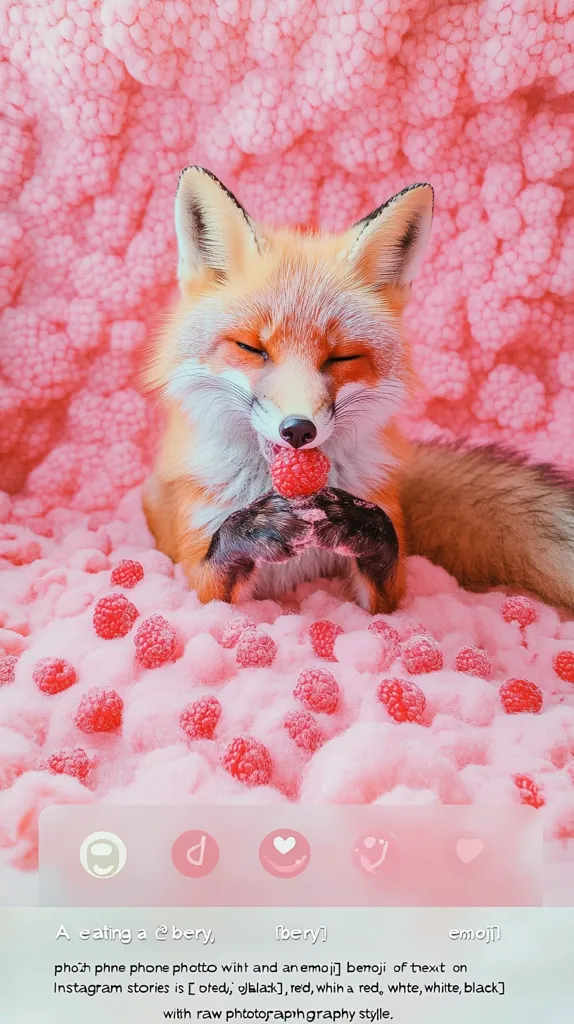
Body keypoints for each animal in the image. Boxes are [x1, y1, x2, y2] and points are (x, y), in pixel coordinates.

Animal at [142, 165, 574, 615]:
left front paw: (361, 524)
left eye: (341, 357)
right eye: (250, 348)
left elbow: (387, 561)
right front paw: (254, 527)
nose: (298, 430)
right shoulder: (203, 578)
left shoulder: (386, 580)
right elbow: (215, 571)